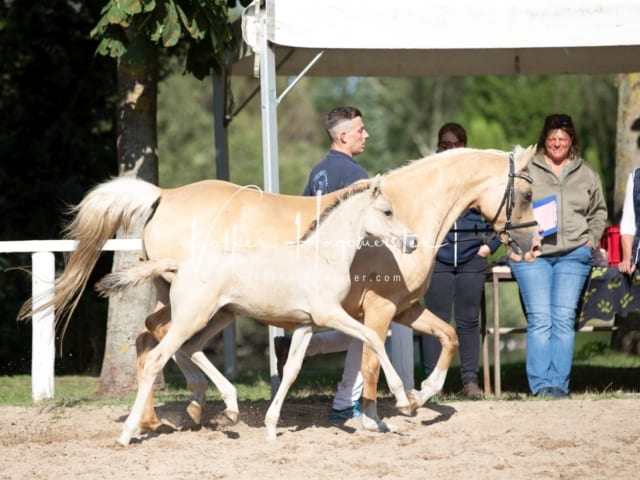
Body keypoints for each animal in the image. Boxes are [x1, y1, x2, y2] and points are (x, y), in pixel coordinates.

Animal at [94, 175, 416, 442]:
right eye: (387, 211)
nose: (412, 242)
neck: (322, 256)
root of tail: (179, 265)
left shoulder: (306, 325)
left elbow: (291, 371)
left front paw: (271, 427)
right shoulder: (330, 314)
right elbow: (373, 338)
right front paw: (405, 402)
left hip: (218, 316)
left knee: (190, 348)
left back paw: (230, 408)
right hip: (192, 318)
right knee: (157, 358)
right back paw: (128, 433)